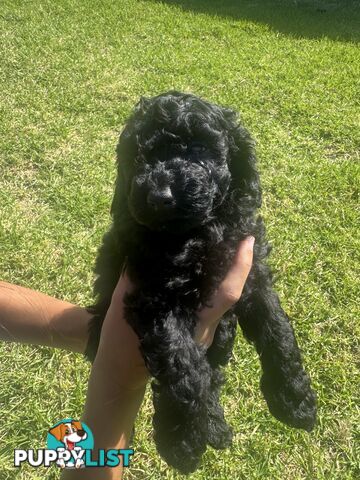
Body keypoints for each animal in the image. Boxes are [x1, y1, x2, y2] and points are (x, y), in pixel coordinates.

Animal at [86, 92, 316, 474]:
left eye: (198, 148)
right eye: (138, 157)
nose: (159, 195)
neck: (196, 234)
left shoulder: (253, 277)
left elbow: (279, 331)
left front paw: (294, 398)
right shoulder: (152, 296)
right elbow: (182, 365)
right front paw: (181, 440)